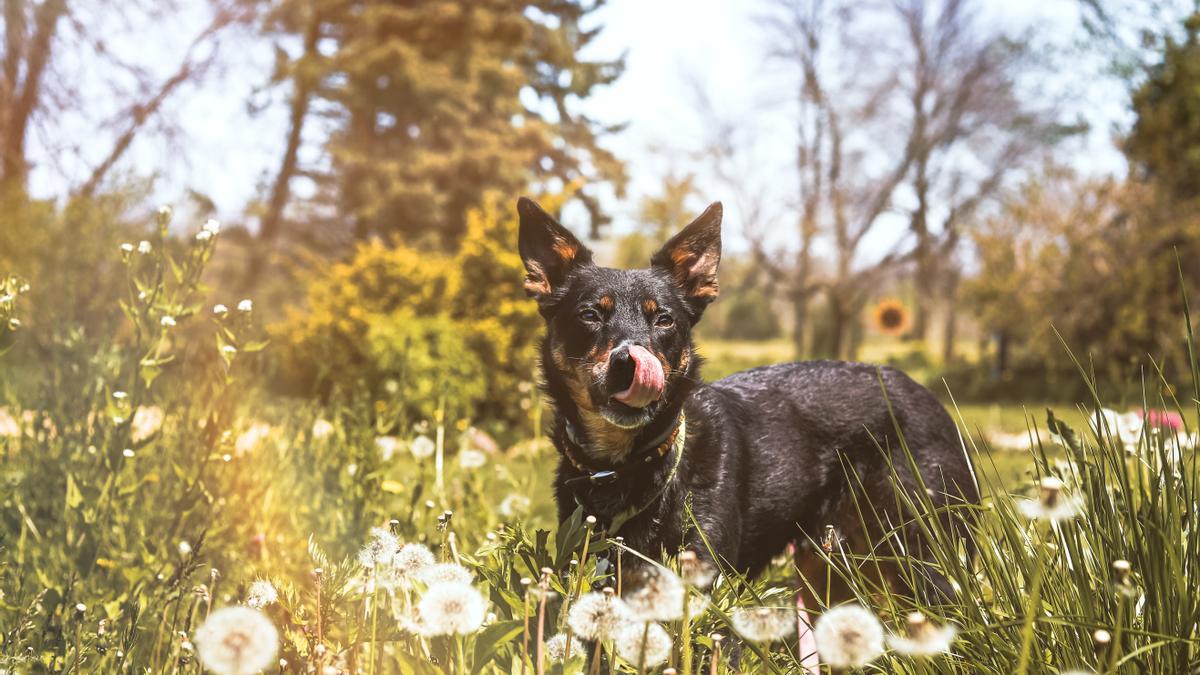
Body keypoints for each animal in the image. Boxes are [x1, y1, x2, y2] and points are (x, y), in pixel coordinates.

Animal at [516, 195, 974, 598]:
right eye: (590, 315)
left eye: (664, 319)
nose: (630, 363)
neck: (630, 466)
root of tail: (928, 395)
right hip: (831, 573)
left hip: (926, 557)